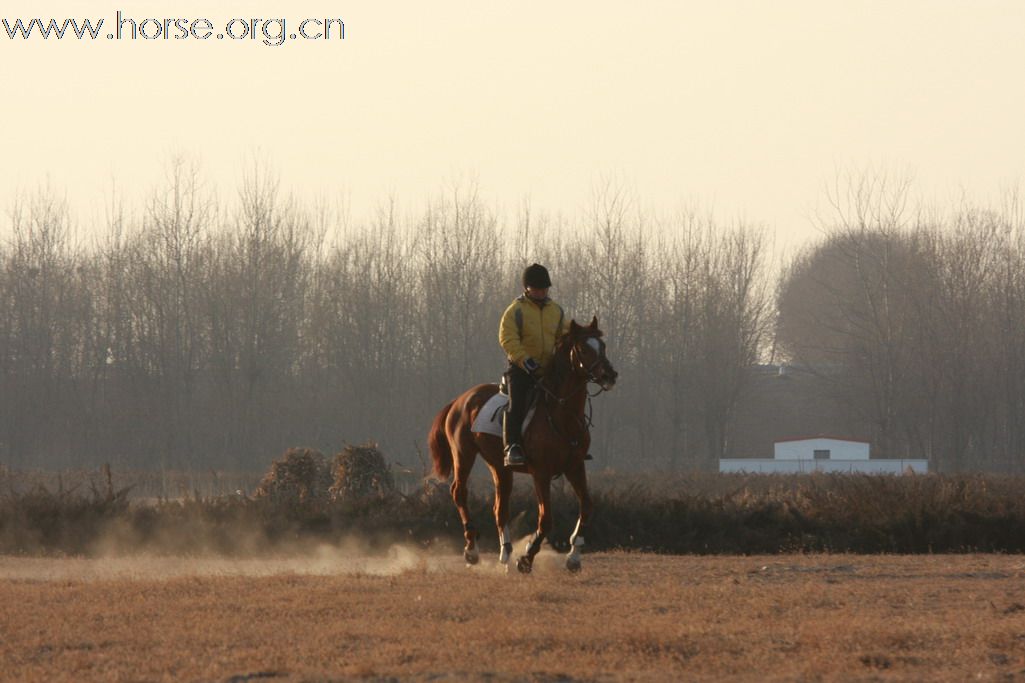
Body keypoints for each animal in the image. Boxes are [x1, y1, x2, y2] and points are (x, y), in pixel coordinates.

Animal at [426, 315, 615, 570]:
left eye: (602, 346)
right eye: (584, 349)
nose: (610, 375)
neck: (561, 414)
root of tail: (460, 399)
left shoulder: (575, 467)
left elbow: (586, 506)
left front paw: (574, 554)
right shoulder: (541, 473)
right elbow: (546, 519)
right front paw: (527, 557)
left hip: (499, 466)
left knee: (500, 508)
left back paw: (505, 553)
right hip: (463, 455)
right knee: (459, 492)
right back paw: (472, 549)